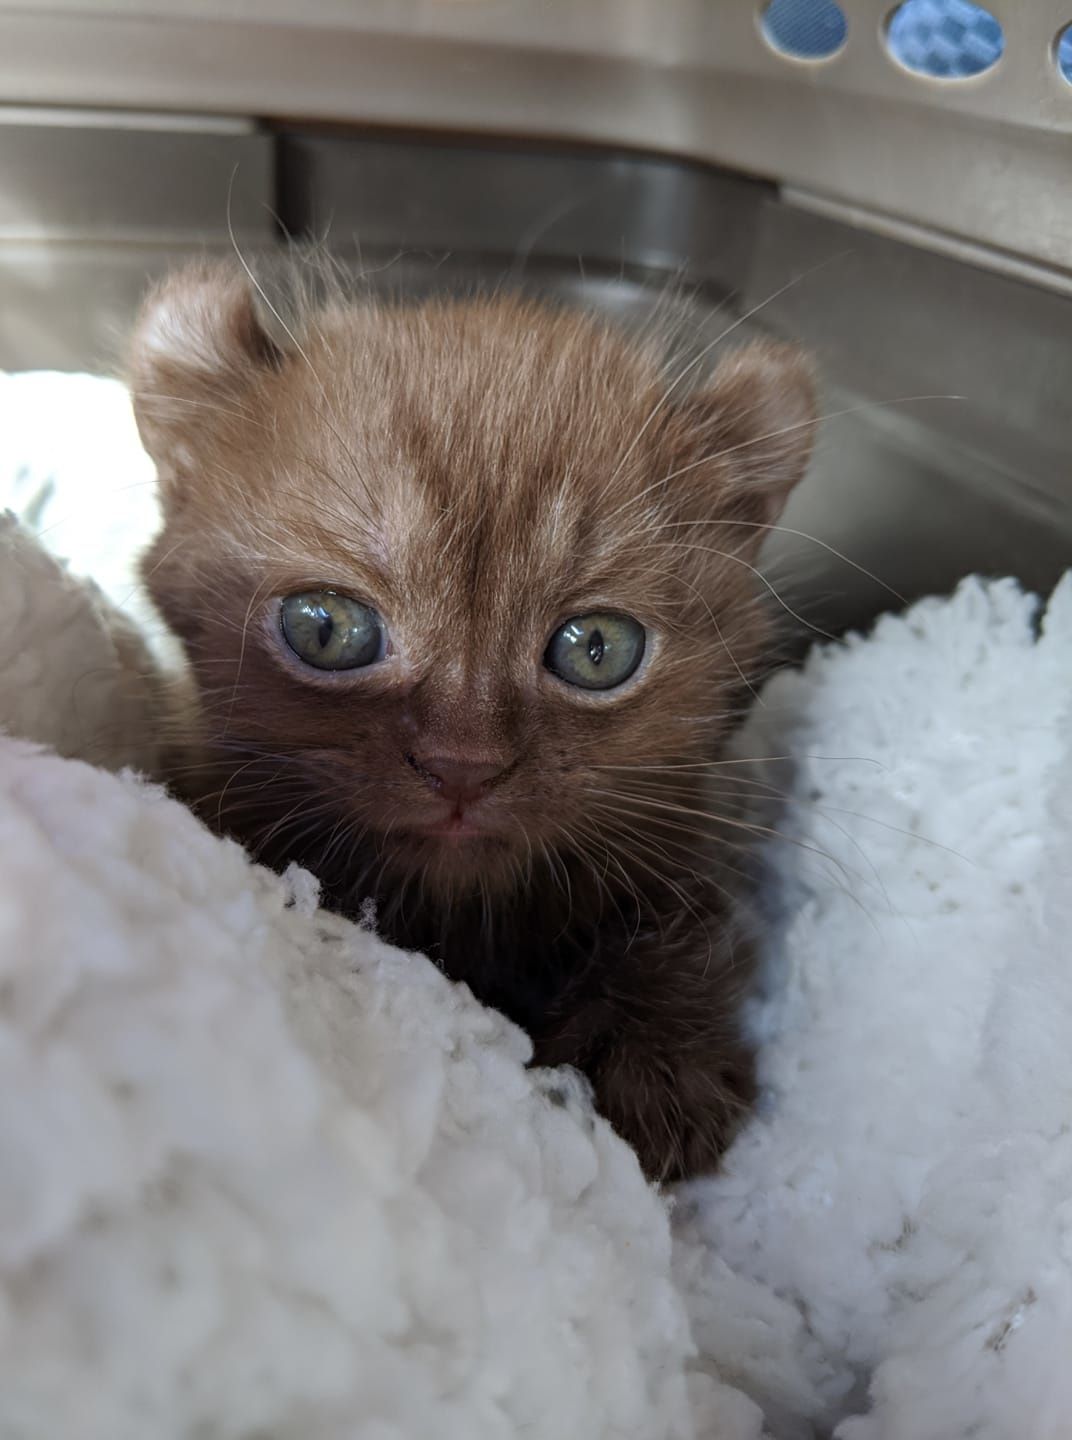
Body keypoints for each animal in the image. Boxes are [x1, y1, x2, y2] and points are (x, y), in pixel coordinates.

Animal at [129, 264, 812, 1186]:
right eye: (326, 627)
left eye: (597, 649)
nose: (463, 763)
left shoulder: (682, 830)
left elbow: (682, 923)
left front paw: (661, 1063)